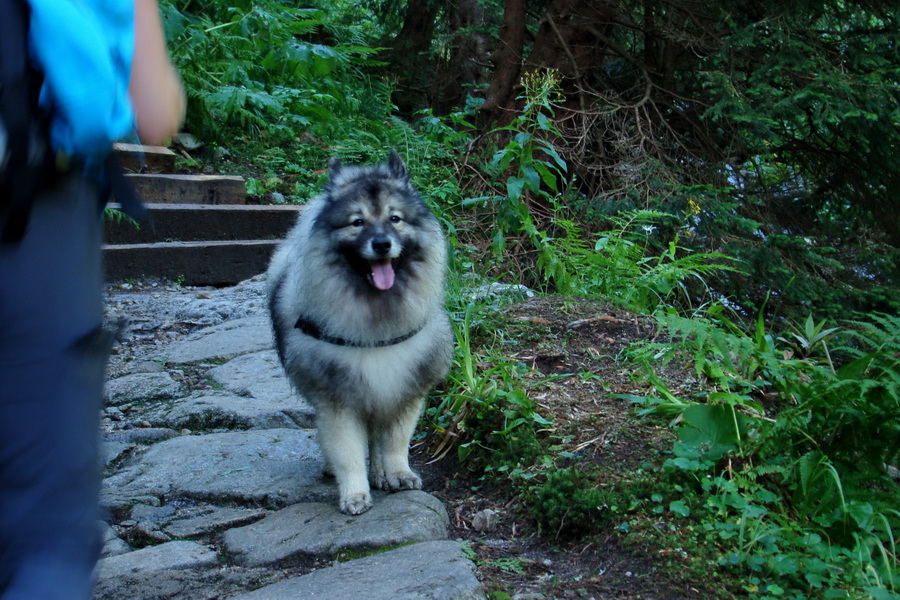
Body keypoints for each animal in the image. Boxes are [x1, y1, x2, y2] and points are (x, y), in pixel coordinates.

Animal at [266, 150, 450, 516]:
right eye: (357, 222)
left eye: (395, 219)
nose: (381, 244)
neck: (375, 320)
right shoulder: (338, 399)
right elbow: (347, 451)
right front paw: (354, 494)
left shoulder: (403, 391)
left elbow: (395, 442)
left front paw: (398, 474)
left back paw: (381, 474)